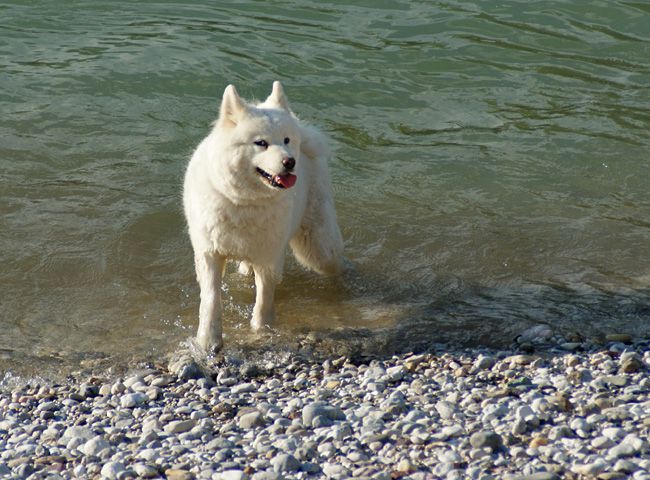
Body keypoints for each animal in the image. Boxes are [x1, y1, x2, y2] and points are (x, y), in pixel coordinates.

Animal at [182, 81, 344, 352]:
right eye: (261, 143)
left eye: (286, 140)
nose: (290, 162)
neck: (246, 203)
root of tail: (307, 136)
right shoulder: (210, 253)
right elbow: (211, 299)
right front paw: (208, 341)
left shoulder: (268, 258)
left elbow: (264, 299)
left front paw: (262, 331)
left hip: (317, 249)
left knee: (335, 265)